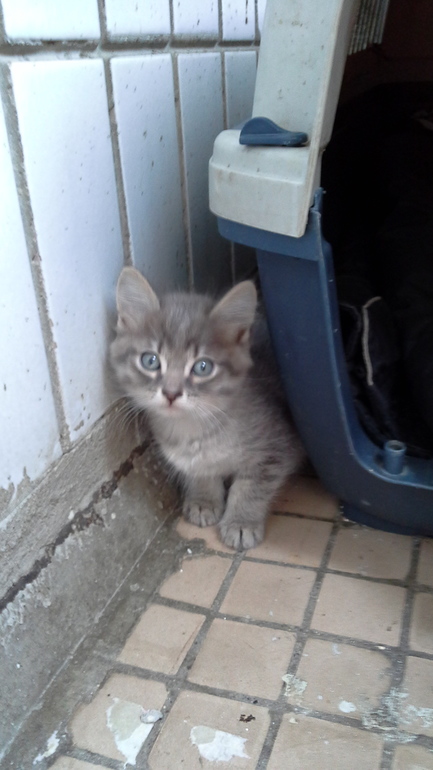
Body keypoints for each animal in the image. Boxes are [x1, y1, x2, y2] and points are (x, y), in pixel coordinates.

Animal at [110, 266, 304, 550]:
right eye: (150, 361)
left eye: (202, 367)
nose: (171, 393)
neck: (192, 430)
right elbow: (199, 471)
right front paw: (204, 499)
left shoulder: (278, 448)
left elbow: (251, 486)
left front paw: (241, 522)